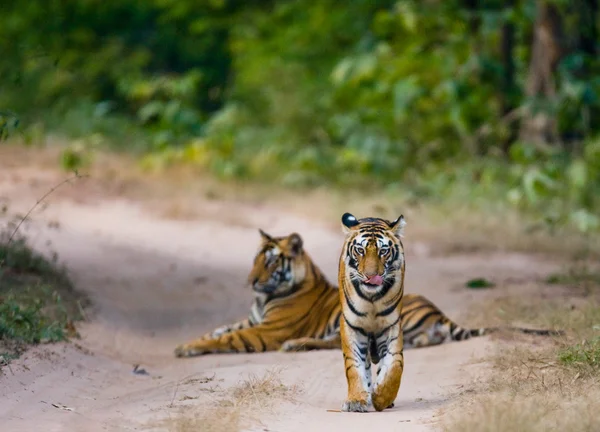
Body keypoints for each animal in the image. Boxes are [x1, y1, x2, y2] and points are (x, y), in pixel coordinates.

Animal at [173, 228, 556, 356]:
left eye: (269, 262)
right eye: (255, 259)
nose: (251, 281)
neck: (263, 297)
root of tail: (440, 312)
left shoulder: (267, 330)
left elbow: (225, 338)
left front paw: (187, 349)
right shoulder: (251, 320)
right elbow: (218, 329)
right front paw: (186, 343)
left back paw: (294, 345)